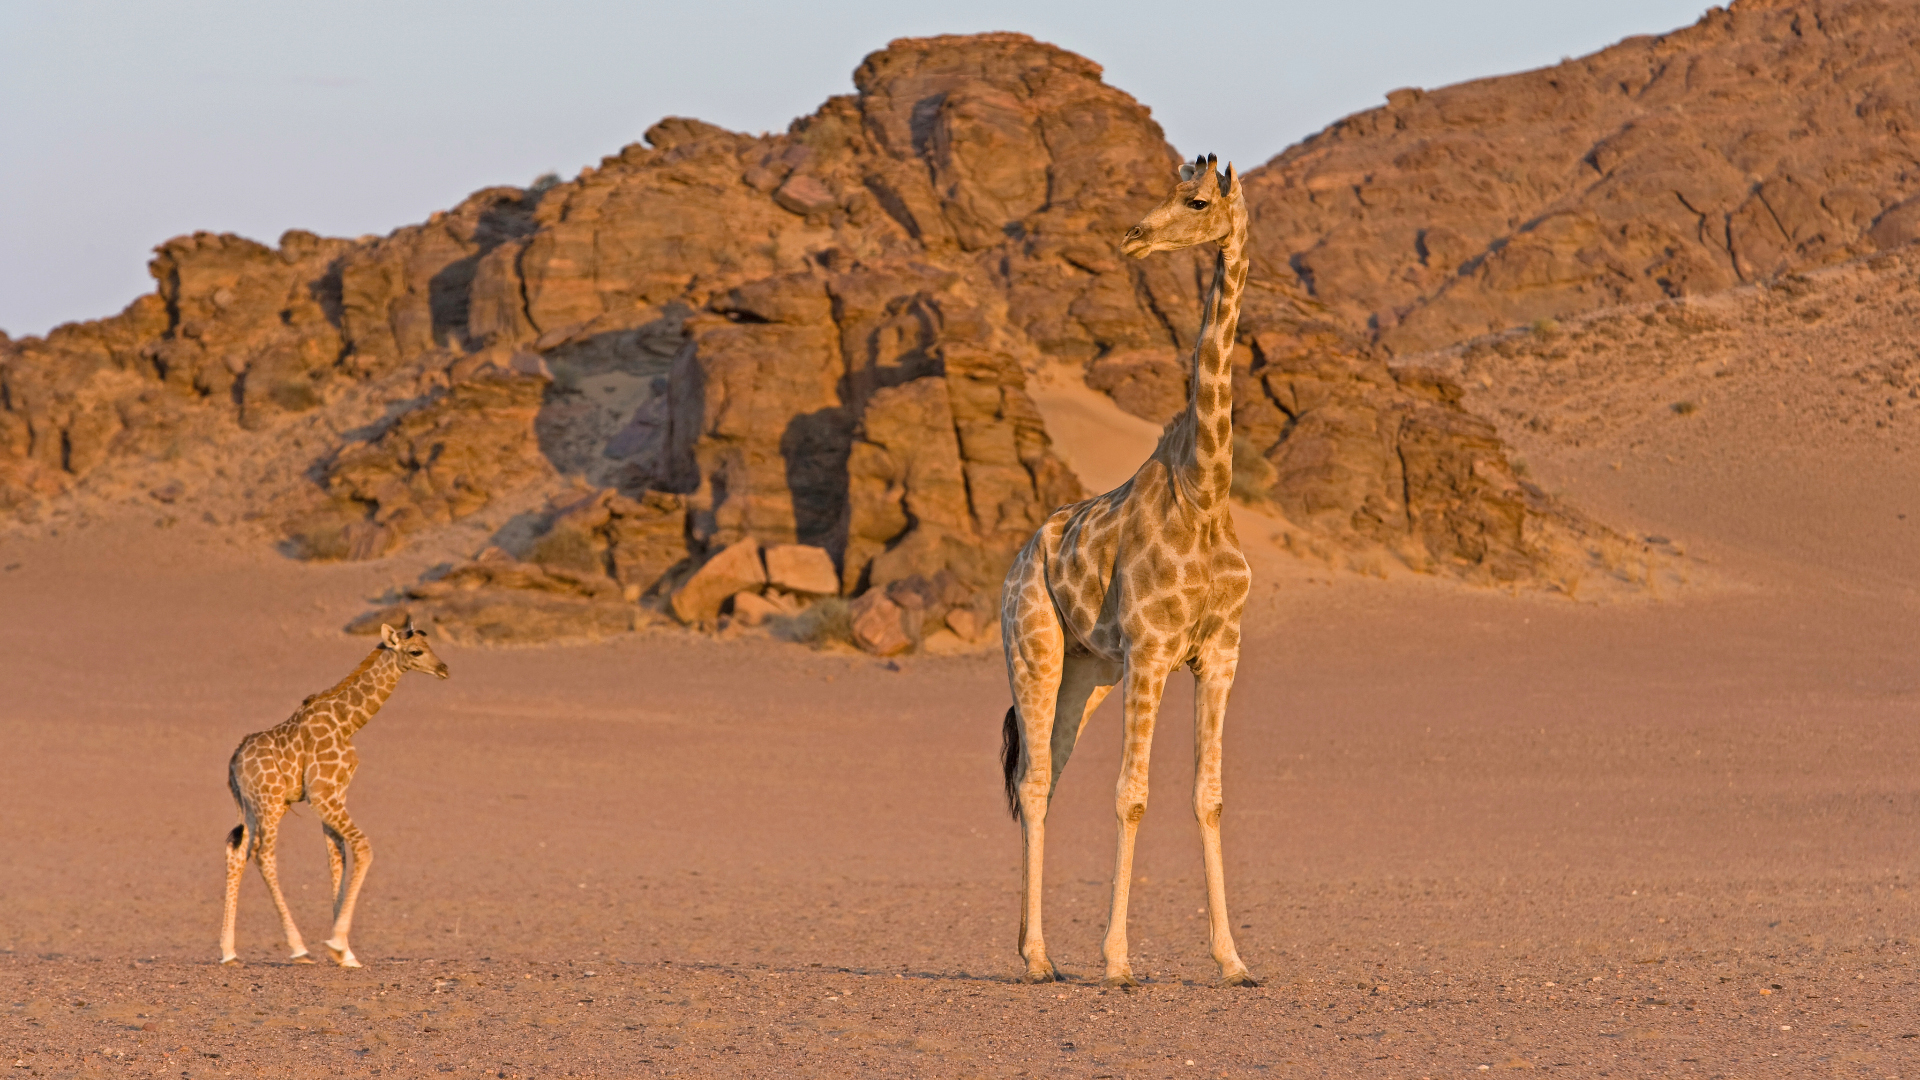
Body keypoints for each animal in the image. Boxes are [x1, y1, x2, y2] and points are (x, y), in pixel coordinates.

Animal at [220, 618, 449, 960]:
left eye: (430, 644)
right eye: (416, 651)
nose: (444, 668)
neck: (347, 723)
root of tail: (234, 761)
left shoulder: (335, 793)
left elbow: (336, 857)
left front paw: (345, 953)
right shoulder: (322, 793)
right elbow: (363, 847)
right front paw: (338, 943)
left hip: (253, 806)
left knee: (238, 852)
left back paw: (228, 951)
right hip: (270, 801)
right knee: (263, 855)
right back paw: (298, 947)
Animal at [998, 151, 1251, 983]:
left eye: (1196, 200)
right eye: (1172, 190)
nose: (1135, 235)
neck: (1205, 489)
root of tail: (1018, 560)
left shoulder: (1219, 656)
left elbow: (1208, 797)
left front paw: (1233, 960)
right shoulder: (1151, 651)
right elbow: (1131, 795)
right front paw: (1117, 962)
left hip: (1088, 673)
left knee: (1043, 777)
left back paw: (1033, 949)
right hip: (1035, 649)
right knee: (1033, 779)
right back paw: (1039, 959)